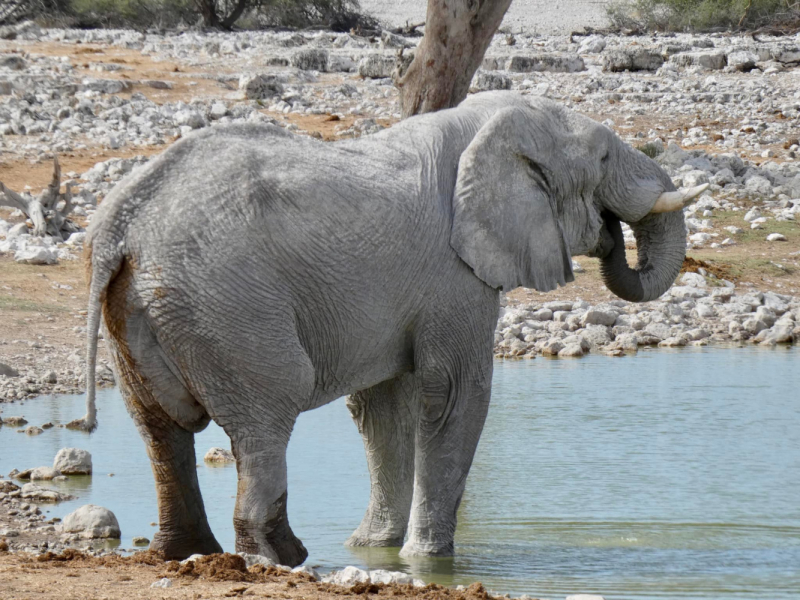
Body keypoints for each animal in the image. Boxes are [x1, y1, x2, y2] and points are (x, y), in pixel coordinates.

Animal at [70, 91, 708, 564]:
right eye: (601, 159)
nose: (610, 235)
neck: (489, 124)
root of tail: (120, 223)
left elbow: (383, 406)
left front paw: (374, 549)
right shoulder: (455, 275)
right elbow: (455, 397)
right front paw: (430, 561)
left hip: (149, 307)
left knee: (160, 428)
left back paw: (188, 555)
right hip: (226, 303)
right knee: (267, 412)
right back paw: (277, 560)